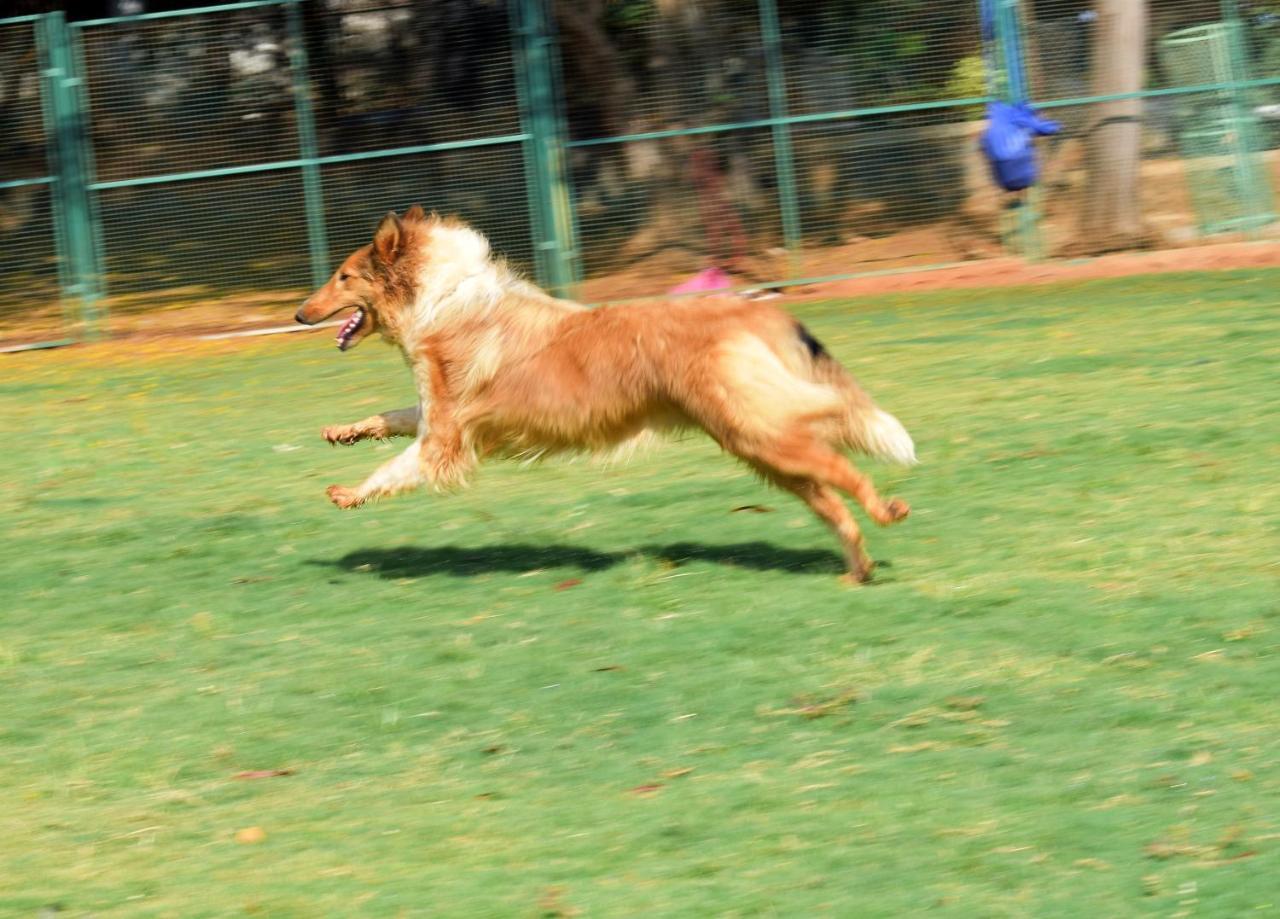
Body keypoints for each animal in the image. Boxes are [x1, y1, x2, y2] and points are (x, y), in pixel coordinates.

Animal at [296, 208, 921, 583]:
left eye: (344, 276)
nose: (299, 314)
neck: (438, 298)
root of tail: (756, 310)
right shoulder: (436, 417)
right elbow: (389, 417)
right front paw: (341, 432)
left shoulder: (446, 438)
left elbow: (394, 468)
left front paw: (349, 492)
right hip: (759, 446)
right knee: (828, 493)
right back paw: (858, 566)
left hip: (758, 431)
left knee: (843, 467)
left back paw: (886, 511)